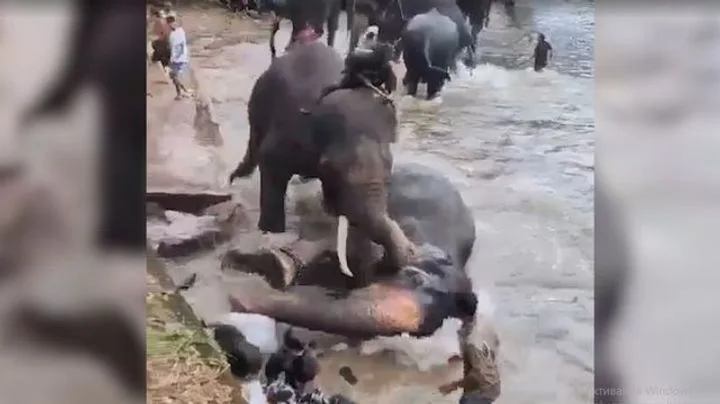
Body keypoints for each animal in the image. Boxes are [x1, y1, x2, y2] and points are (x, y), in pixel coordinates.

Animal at [228, 41, 415, 282]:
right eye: (332, 168)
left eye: (389, 172)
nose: (381, 264)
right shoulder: (289, 133)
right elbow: (270, 163)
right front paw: (271, 232)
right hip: (258, 103)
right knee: (256, 143)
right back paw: (235, 177)